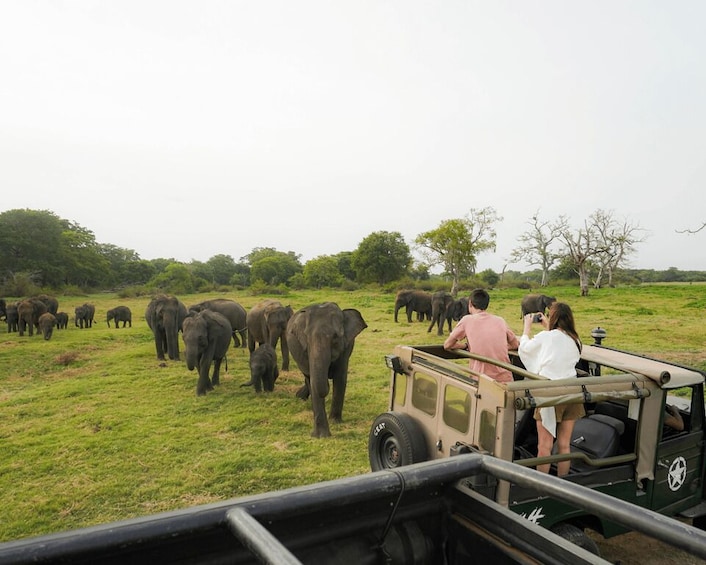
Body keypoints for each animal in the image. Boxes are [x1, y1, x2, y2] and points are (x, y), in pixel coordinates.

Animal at [284, 302, 366, 438]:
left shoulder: (346, 347)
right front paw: (320, 436)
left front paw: (335, 421)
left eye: (335, 337)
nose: (328, 376)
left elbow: (340, 378)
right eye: (306, 337)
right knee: (307, 377)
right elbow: (313, 381)